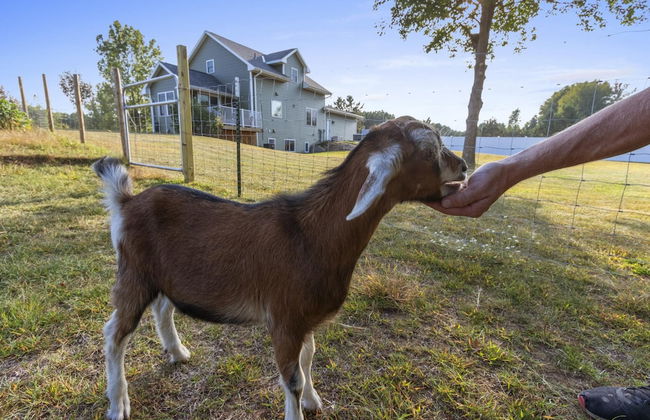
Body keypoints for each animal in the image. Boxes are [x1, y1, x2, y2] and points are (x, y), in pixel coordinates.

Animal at [93, 116, 467, 420]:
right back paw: (118, 405)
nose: (464, 166)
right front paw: (300, 406)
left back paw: (178, 352)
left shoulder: (306, 319)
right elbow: (292, 378)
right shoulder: (284, 320)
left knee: (162, 308)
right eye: (431, 148)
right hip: (133, 272)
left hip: (165, 276)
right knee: (114, 333)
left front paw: (314, 401)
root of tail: (126, 202)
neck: (311, 235)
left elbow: (309, 357)